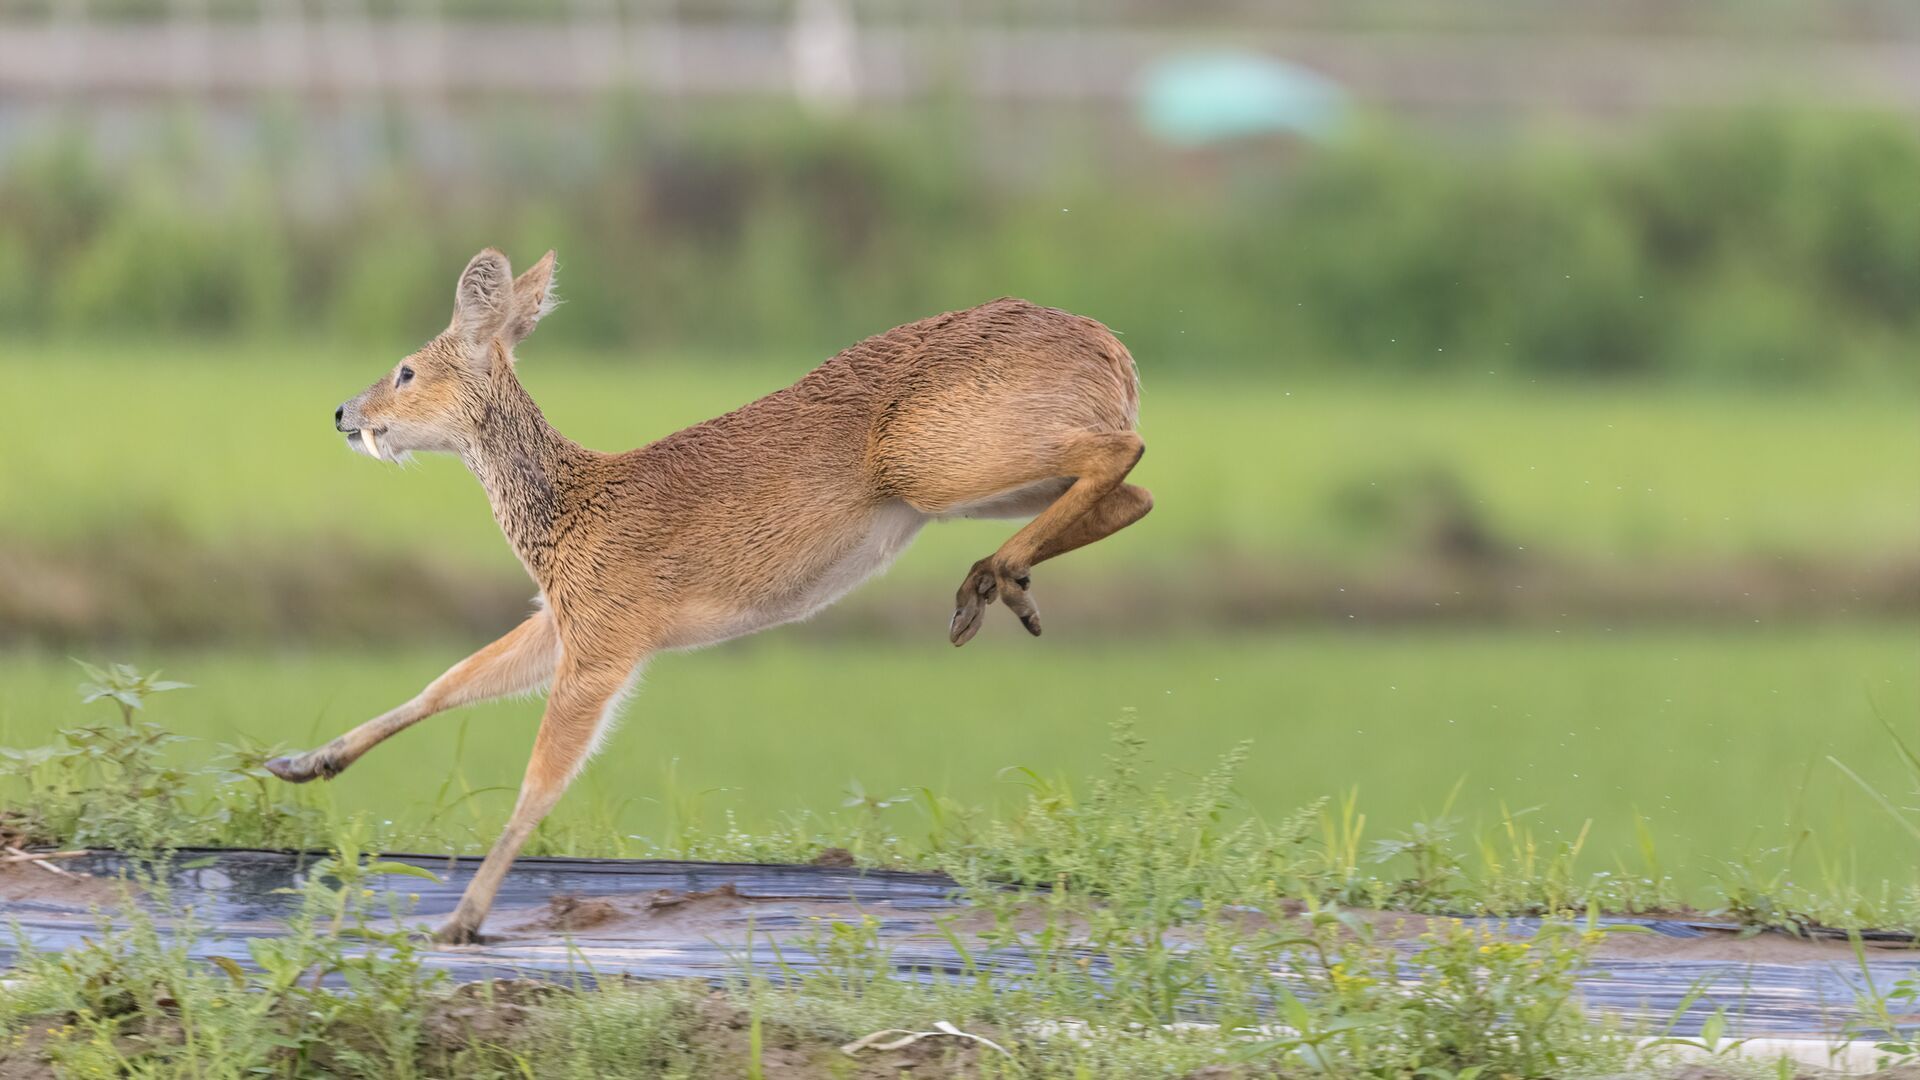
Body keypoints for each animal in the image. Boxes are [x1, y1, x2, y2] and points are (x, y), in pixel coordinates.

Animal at [265, 248, 1151, 943]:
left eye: (407, 369)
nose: (344, 411)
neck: (568, 509)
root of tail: (1113, 348)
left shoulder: (605, 641)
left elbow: (538, 779)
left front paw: (460, 919)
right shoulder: (564, 621)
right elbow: (444, 683)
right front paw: (302, 762)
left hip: (933, 462)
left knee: (1125, 453)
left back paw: (991, 581)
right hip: (958, 481)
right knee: (1131, 494)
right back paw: (1003, 584)